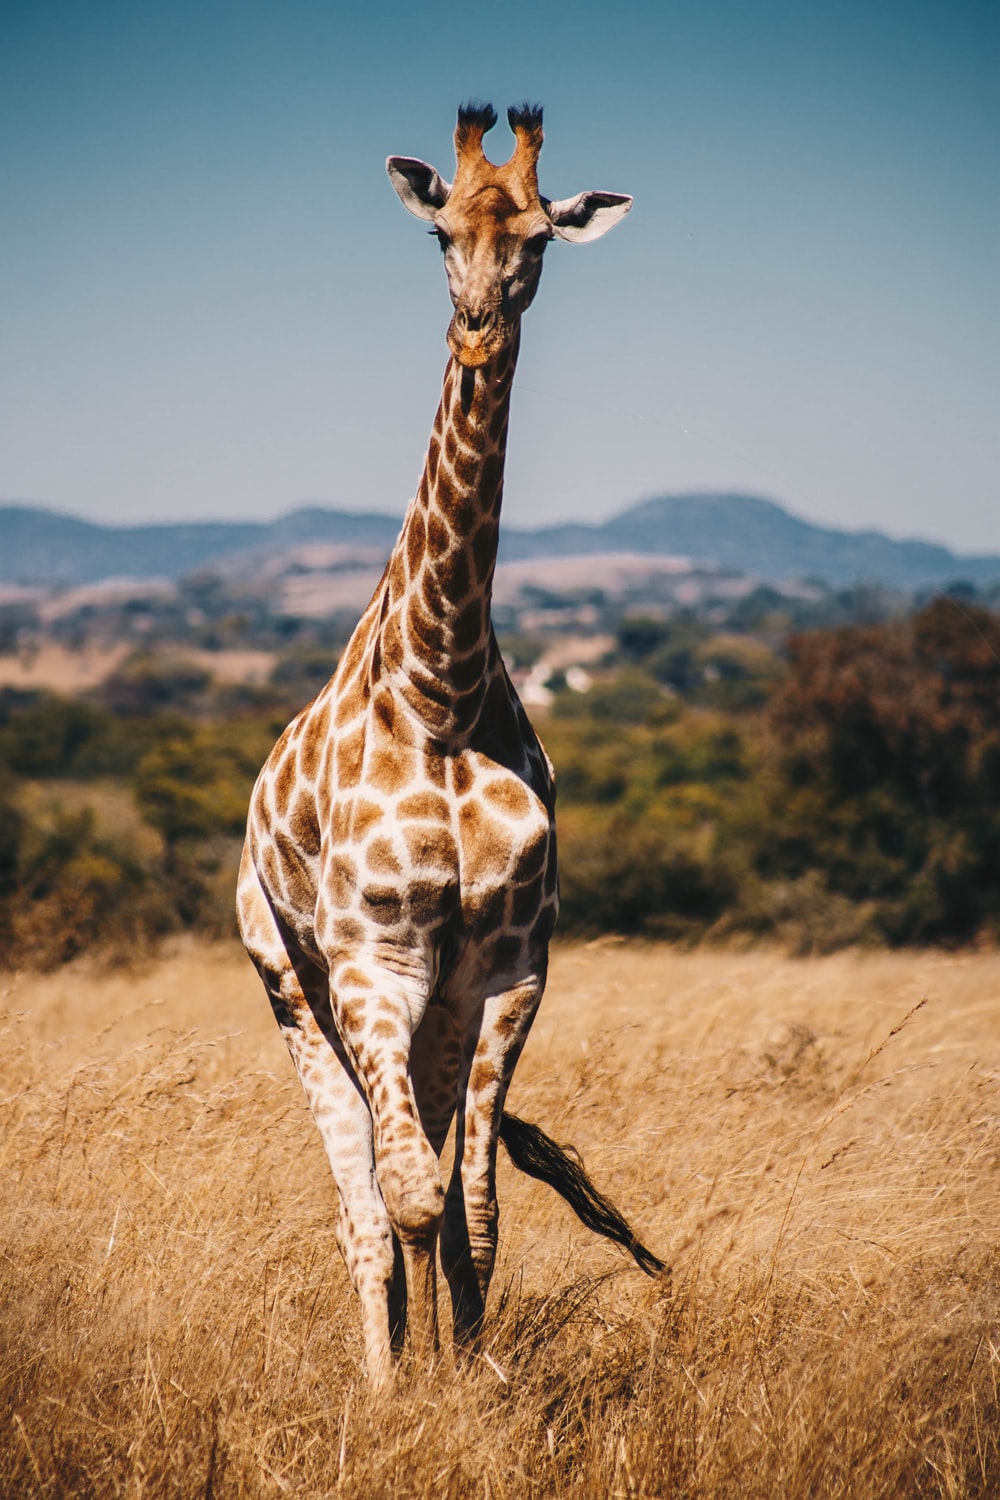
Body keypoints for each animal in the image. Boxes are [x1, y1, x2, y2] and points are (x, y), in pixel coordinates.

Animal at [237, 102, 663, 1391]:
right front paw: (412, 1399)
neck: (443, 690)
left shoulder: (507, 970)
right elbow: (408, 1197)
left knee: (421, 1171)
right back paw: (383, 1381)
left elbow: (472, 1207)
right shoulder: (375, 960)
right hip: (291, 981)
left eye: (537, 238)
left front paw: (478, 1382)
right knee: (363, 1202)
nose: (476, 329)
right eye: (438, 235)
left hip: (424, 1008)